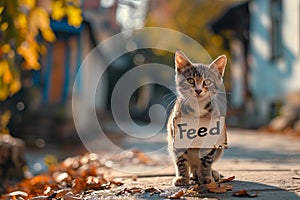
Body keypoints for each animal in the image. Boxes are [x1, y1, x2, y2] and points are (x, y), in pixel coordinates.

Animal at [168, 50, 226, 186]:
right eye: (190, 80)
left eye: (207, 82)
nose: (198, 90)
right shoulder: (177, 136)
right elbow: (181, 160)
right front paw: (182, 177)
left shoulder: (211, 138)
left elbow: (207, 160)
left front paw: (206, 176)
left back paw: (210, 173)